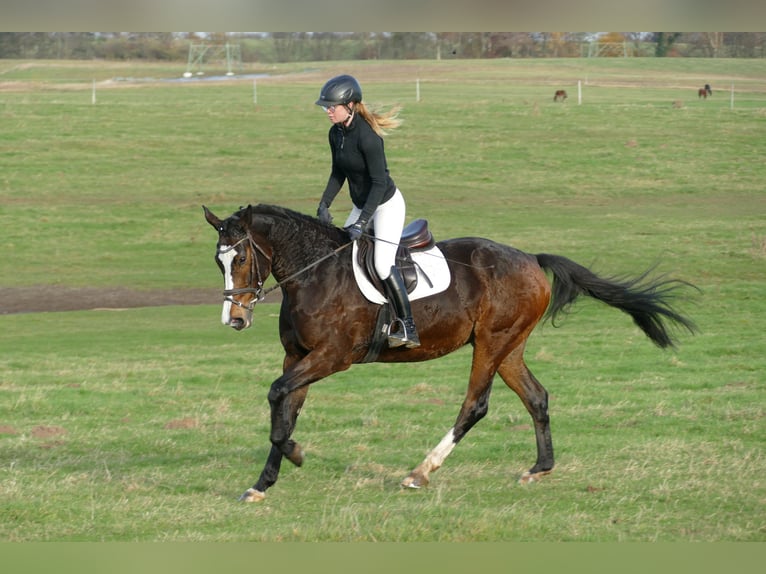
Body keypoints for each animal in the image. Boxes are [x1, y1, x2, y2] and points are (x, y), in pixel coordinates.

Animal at [203, 203, 697, 502]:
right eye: (217, 261)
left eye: (240, 258)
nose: (235, 319)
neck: (315, 274)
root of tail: (530, 259)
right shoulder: (299, 357)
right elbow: (284, 408)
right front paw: (263, 483)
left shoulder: (331, 357)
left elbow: (277, 396)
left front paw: (296, 454)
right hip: (508, 348)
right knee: (537, 397)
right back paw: (540, 468)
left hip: (493, 344)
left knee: (475, 405)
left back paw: (422, 471)